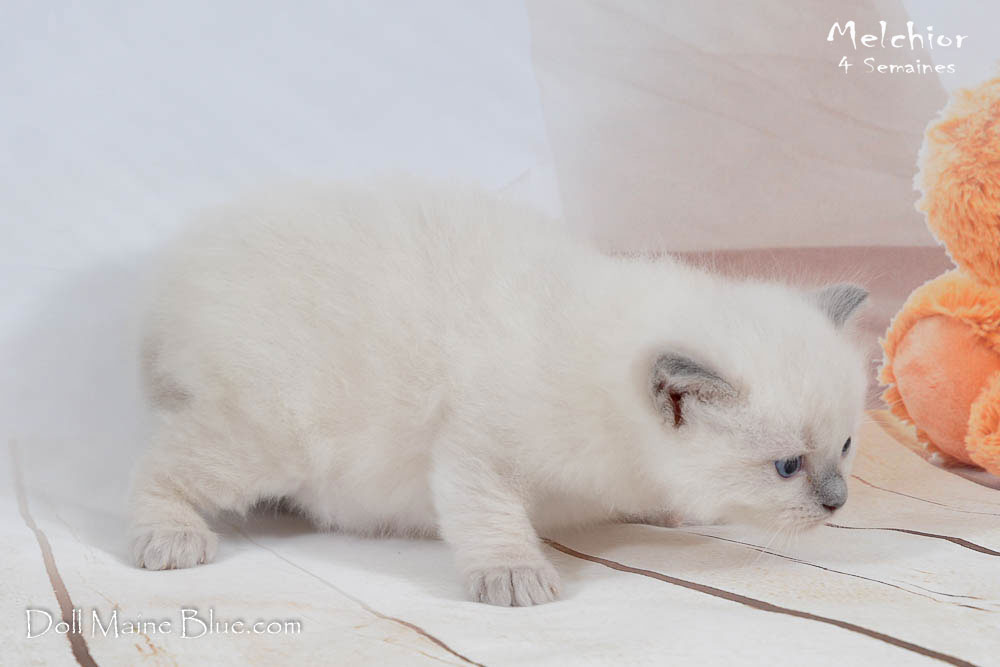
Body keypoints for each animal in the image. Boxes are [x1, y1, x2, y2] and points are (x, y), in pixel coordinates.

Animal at [130, 179, 868, 606]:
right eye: (787, 466)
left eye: (845, 448)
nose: (838, 502)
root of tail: (176, 276)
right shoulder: (476, 447)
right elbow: (491, 516)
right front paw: (514, 577)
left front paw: (665, 511)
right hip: (271, 433)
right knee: (156, 466)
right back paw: (169, 537)